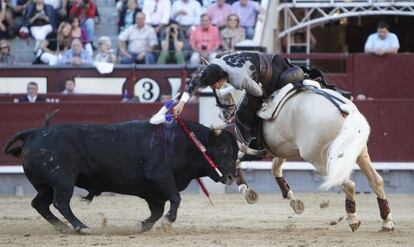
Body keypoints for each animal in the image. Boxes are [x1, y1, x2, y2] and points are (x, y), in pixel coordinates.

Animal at [3, 119, 238, 233]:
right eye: (223, 148)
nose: (231, 177)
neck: (184, 143)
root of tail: (33, 133)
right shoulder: (160, 177)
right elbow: (175, 199)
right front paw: (167, 222)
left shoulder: (152, 191)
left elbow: (156, 210)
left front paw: (141, 226)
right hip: (63, 180)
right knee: (60, 202)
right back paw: (81, 227)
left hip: (44, 184)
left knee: (40, 203)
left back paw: (62, 227)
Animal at [217, 84, 394, 232]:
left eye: (222, 99)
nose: (223, 116)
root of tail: (344, 109)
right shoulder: (282, 150)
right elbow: (275, 169)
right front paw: (294, 201)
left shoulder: (250, 147)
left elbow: (237, 160)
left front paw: (246, 190)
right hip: (358, 151)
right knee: (376, 181)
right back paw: (387, 222)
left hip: (318, 157)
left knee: (349, 184)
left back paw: (353, 220)